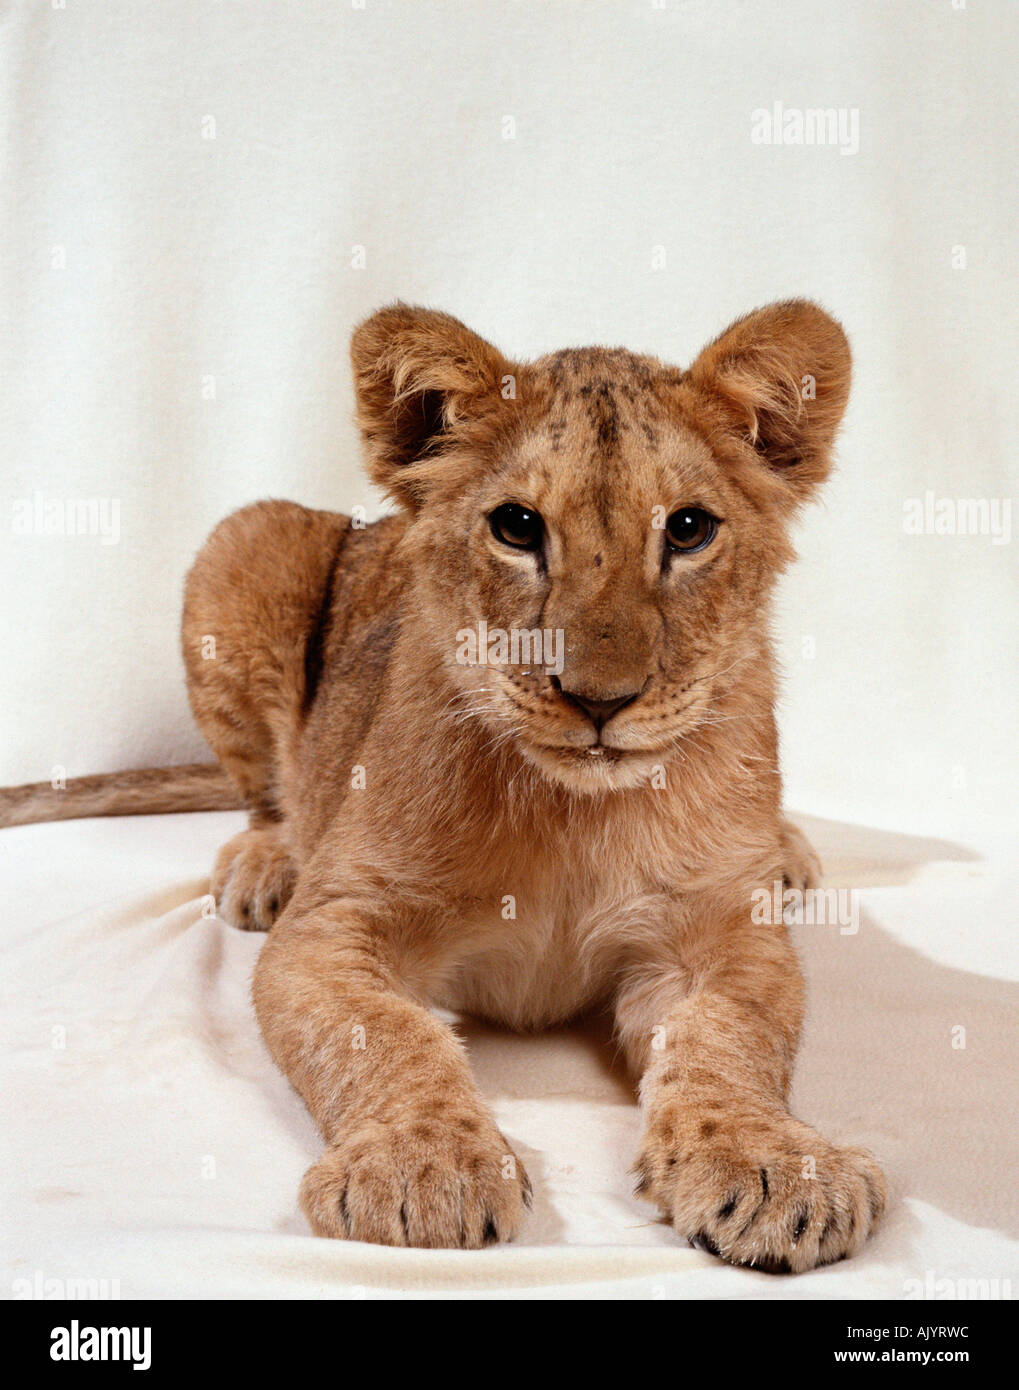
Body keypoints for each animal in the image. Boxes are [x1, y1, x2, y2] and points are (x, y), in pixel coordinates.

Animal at [1, 300, 885, 1271]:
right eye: (517, 527)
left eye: (687, 530)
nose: (598, 700)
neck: (571, 813)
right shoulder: (339, 920)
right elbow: (388, 1036)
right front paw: (421, 1169)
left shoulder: (719, 932)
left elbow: (729, 1037)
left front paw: (774, 1167)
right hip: (246, 543)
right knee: (268, 792)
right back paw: (265, 865)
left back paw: (788, 853)